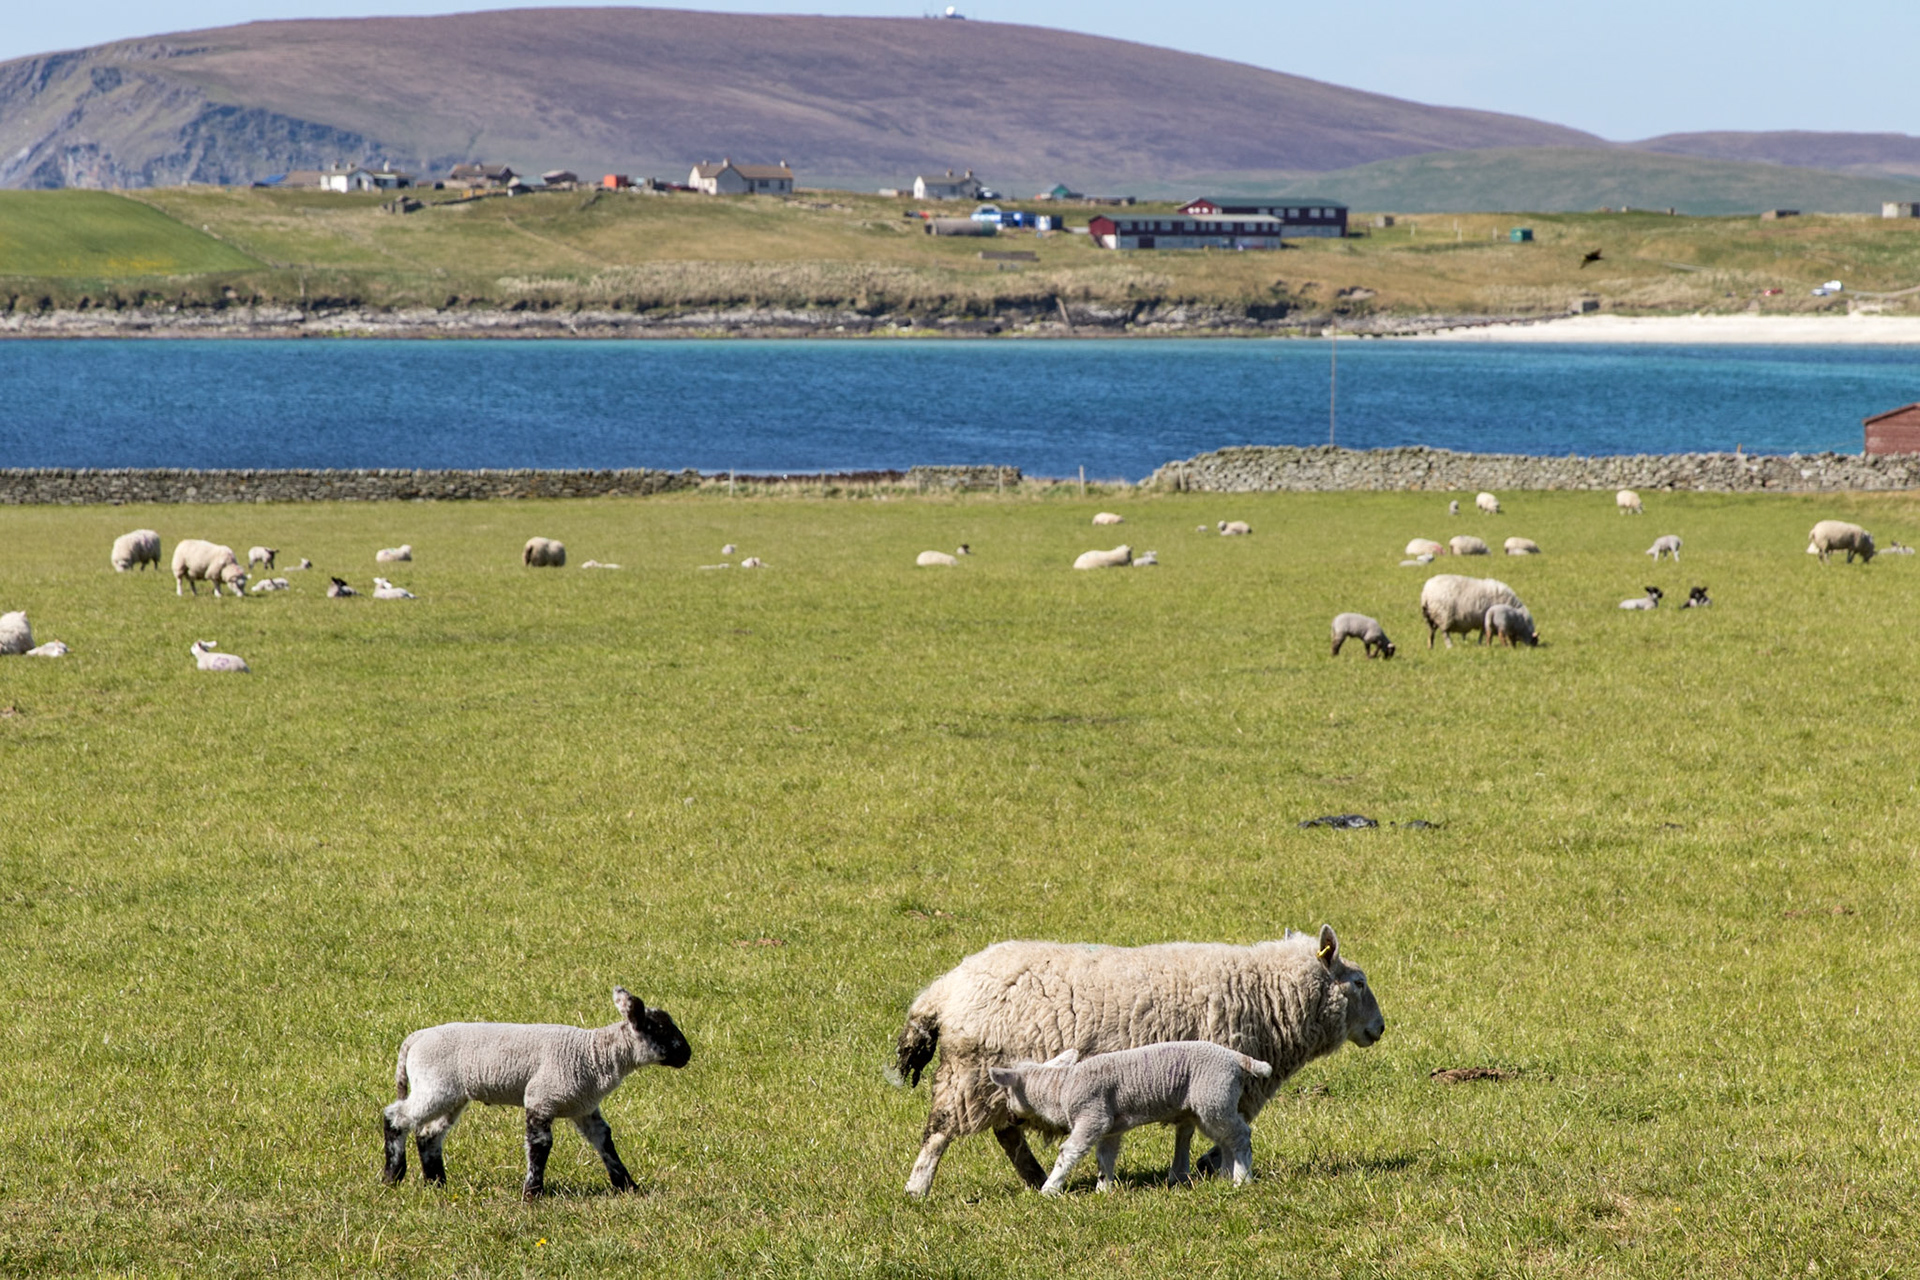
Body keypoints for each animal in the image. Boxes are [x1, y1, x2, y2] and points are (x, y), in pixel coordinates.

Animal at [380, 987, 691, 1199]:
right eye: (660, 1029)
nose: (687, 1054)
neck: (594, 1054)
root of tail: (416, 1037)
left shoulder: (585, 1108)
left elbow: (605, 1141)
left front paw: (628, 1186)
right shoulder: (542, 1098)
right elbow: (540, 1145)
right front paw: (532, 1192)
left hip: (453, 1096)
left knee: (428, 1134)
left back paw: (437, 1183)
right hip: (435, 1086)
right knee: (396, 1117)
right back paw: (392, 1177)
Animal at [991, 1042, 1274, 1194]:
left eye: (1007, 1093)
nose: (1010, 1117)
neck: (1061, 1088)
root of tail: (1236, 1057)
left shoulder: (1092, 1116)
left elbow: (1069, 1151)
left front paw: (1050, 1188)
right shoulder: (1110, 1127)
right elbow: (1105, 1156)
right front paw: (1103, 1190)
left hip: (1213, 1097)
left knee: (1240, 1135)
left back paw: (1242, 1179)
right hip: (1211, 1105)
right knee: (1226, 1140)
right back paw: (1226, 1176)